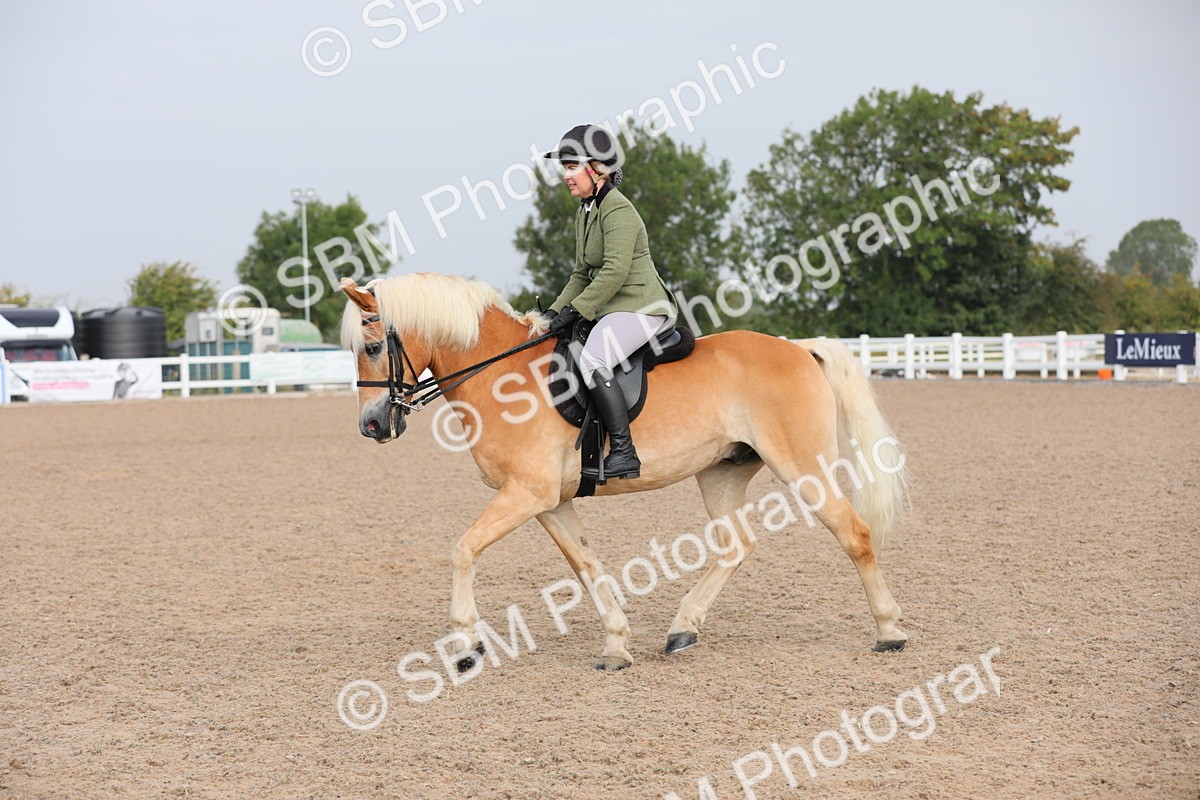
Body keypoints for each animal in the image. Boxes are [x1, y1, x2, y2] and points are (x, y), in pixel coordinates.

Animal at [339, 272, 910, 670]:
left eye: (373, 347)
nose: (371, 425)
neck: (504, 376)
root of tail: (800, 349)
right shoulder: (549, 502)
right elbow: (585, 566)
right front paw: (616, 644)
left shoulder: (526, 494)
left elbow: (463, 549)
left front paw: (465, 644)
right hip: (720, 472)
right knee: (736, 546)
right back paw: (683, 629)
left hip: (803, 468)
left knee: (854, 533)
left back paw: (890, 632)